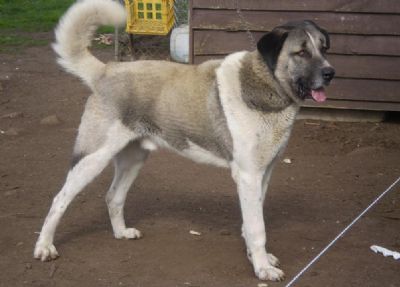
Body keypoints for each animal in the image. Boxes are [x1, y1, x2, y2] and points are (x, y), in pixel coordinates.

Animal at [33, 0, 334, 282]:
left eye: (324, 48)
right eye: (301, 52)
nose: (330, 73)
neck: (264, 84)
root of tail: (105, 70)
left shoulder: (264, 174)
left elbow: (251, 221)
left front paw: (258, 259)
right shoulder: (248, 176)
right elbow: (256, 227)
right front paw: (262, 268)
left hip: (133, 159)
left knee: (113, 196)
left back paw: (121, 233)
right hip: (93, 157)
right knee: (59, 199)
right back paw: (44, 247)